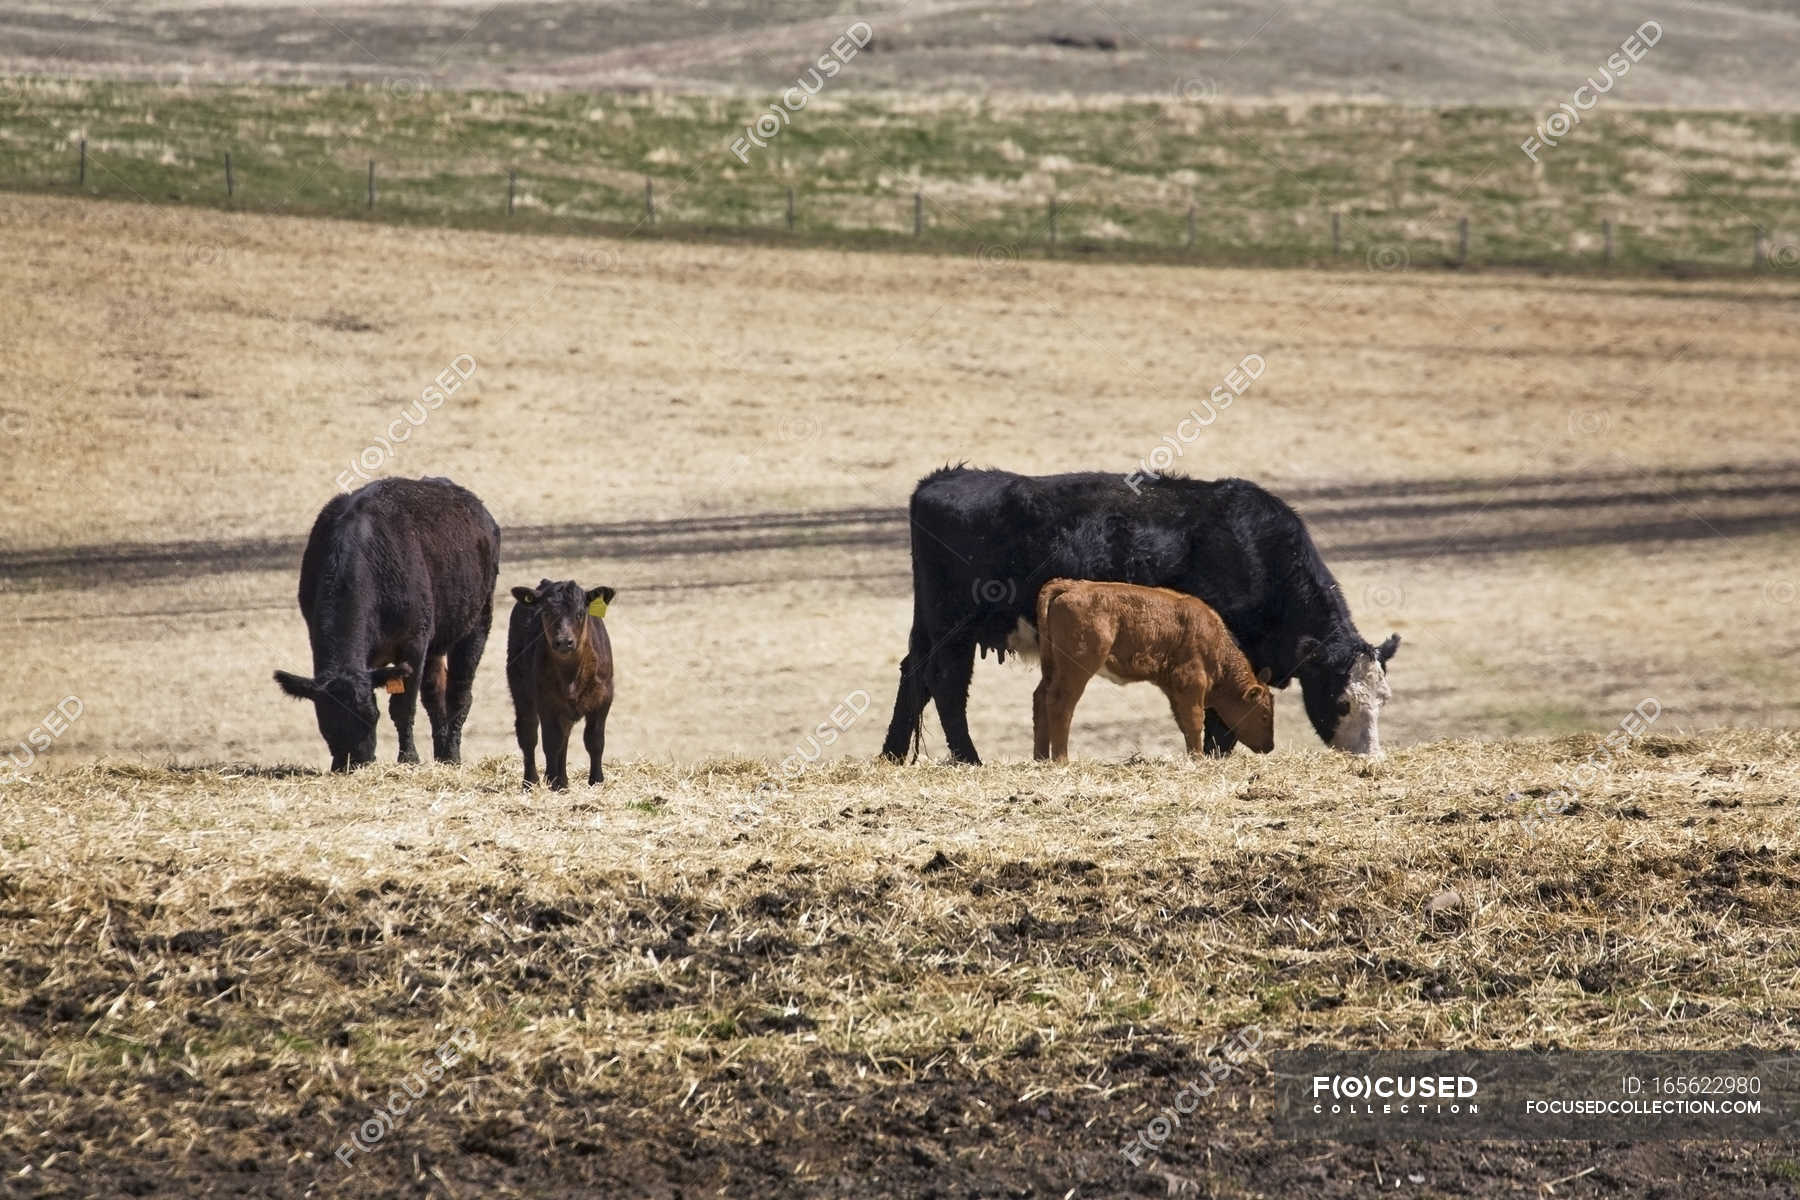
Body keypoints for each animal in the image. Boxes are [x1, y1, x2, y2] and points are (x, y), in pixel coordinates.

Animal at [273, 476, 500, 772]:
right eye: (326, 722)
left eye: (371, 716)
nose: (355, 762)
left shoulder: (413, 644)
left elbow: (403, 706)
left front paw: (409, 758)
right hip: (436, 642)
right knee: (435, 695)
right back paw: (441, 756)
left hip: (477, 623)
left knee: (459, 693)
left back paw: (451, 755)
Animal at [506, 579, 616, 790]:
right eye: (547, 613)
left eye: (580, 613)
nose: (564, 642)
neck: (571, 675)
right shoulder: (546, 701)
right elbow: (551, 742)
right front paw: (553, 781)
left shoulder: (604, 698)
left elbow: (595, 740)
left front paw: (596, 781)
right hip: (520, 690)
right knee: (528, 733)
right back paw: (531, 781)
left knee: (565, 737)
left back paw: (563, 780)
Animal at [1033, 579, 1275, 760]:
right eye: (1264, 715)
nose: (1270, 746)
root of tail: (1071, 585)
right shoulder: (1192, 683)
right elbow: (1195, 721)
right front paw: (1198, 758)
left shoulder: (1175, 690)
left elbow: (1184, 723)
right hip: (1076, 669)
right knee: (1061, 703)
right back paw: (1061, 760)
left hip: (1052, 668)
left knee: (1040, 699)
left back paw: (1041, 758)